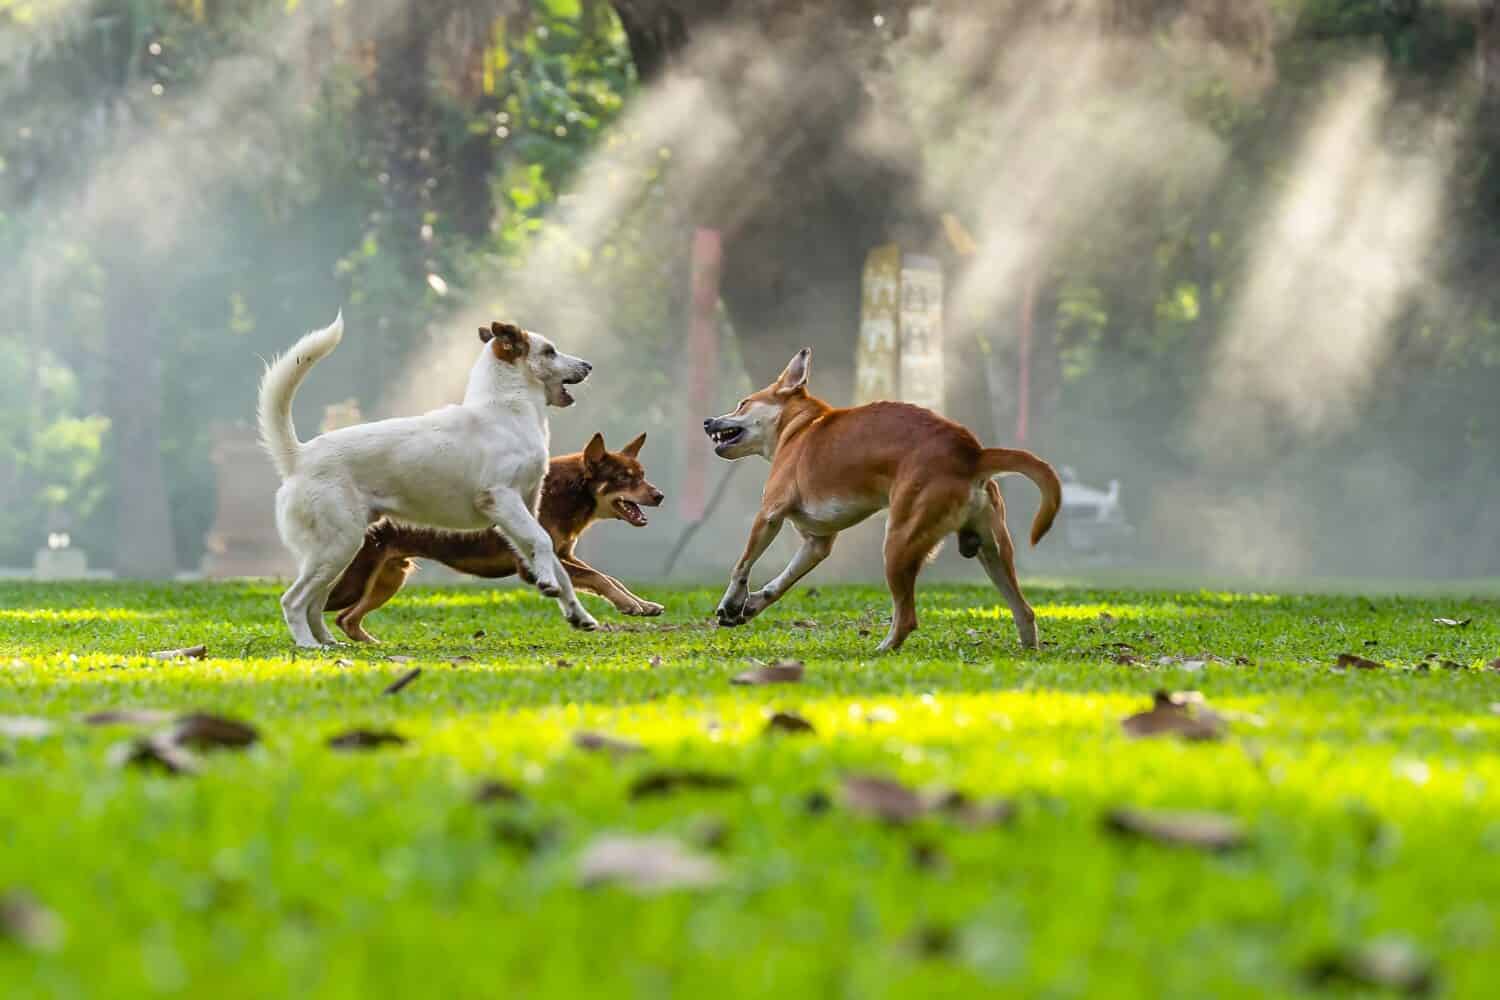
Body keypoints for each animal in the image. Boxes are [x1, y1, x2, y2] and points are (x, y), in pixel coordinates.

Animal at [258, 314, 597, 650]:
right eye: (550, 351)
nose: (589, 365)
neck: (507, 411)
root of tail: (299, 457)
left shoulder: (519, 514)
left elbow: (554, 561)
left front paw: (577, 613)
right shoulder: (501, 499)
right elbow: (543, 543)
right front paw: (548, 584)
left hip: (338, 553)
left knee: (315, 603)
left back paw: (328, 642)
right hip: (337, 547)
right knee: (293, 601)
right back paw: (307, 644)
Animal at [322, 431, 663, 641]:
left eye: (642, 475)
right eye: (624, 478)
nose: (660, 496)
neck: (570, 494)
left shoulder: (564, 554)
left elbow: (608, 578)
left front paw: (641, 604)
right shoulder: (530, 566)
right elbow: (599, 578)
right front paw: (629, 605)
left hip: (388, 578)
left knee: (346, 619)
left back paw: (372, 644)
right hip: (356, 581)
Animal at [699, 347, 1062, 653]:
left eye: (743, 403)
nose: (707, 421)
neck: (798, 427)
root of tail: (973, 453)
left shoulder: (769, 514)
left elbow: (742, 565)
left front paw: (731, 602)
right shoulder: (817, 543)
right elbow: (781, 582)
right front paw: (751, 604)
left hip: (899, 543)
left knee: (907, 617)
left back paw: (882, 649)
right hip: (993, 550)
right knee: (1025, 610)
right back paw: (1029, 650)